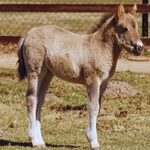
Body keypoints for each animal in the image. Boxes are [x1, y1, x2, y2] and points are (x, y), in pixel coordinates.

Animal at [17, 4, 143, 150]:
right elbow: (93, 107)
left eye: (137, 28)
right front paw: (93, 141)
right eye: (124, 28)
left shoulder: (104, 83)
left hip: (47, 74)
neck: (100, 47)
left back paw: (41, 141)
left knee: (39, 100)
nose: (140, 47)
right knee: (31, 99)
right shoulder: (92, 80)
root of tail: (27, 34)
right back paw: (34, 140)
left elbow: (98, 107)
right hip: (35, 72)